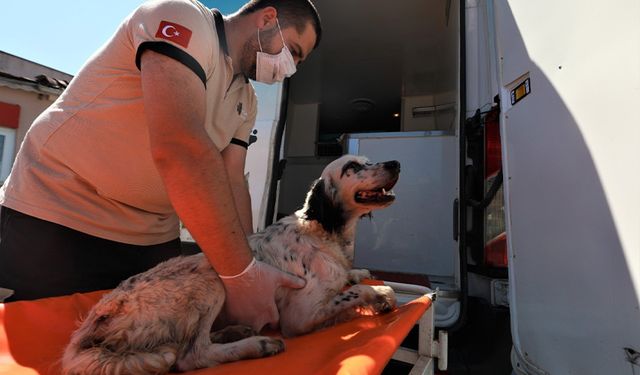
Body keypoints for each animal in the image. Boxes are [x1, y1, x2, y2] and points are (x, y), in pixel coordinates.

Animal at [61, 155, 400, 375]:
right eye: (352, 167)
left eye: (368, 160)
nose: (395, 164)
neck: (323, 231)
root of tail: (96, 319)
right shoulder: (300, 318)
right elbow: (358, 292)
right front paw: (380, 294)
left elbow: (351, 279)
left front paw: (359, 273)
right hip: (209, 279)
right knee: (191, 356)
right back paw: (257, 344)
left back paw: (234, 331)